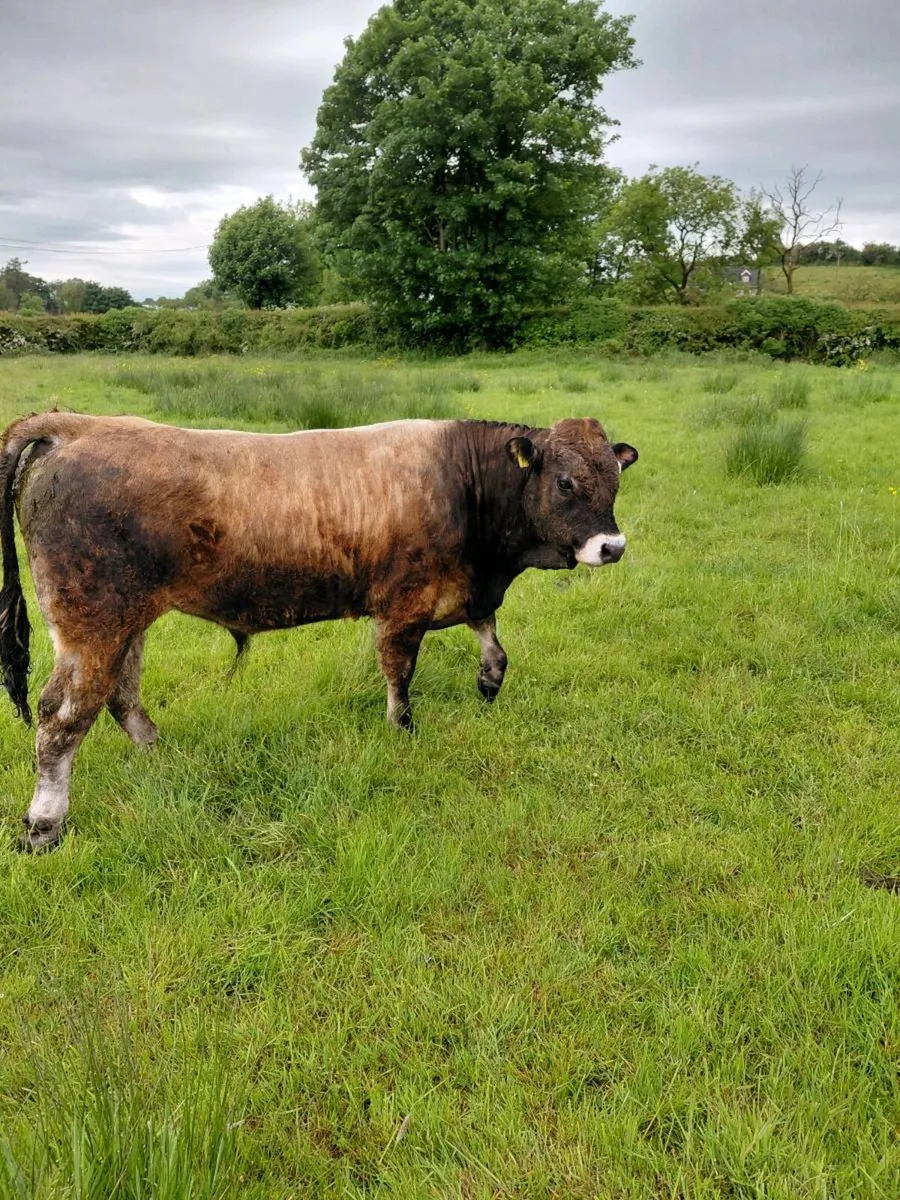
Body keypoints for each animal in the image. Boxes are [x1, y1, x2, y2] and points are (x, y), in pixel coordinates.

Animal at [0, 411, 638, 851]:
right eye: (564, 482)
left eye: (614, 477)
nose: (613, 547)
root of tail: (77, 425)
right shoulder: (404, 604)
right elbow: (400, 673)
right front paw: (402, 731)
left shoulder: (469, 588)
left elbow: (494, 644)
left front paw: (487, 684)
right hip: (91, 621)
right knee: (61, 716)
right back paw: (44, 825)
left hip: (128, 619)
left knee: (121, 694)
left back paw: (158, 752)